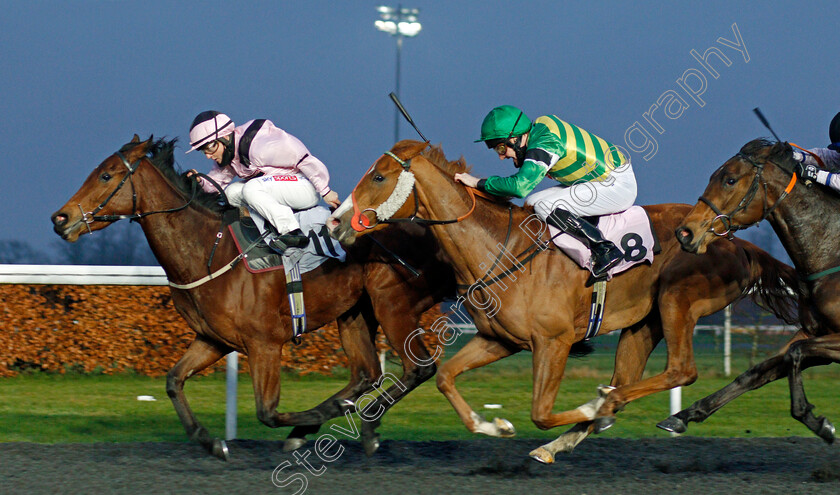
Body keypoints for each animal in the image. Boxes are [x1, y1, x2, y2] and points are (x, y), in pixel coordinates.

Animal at [49, 137, 456, 462]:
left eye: (106, 175)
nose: (60, 218)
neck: (209, 251)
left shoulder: (264, 344)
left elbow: (268, 412)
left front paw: (306, 424)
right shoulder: (213, 339)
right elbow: (173, 381)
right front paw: (212, 442)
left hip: (392, 304)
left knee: (418, 368)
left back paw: (363, 430)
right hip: (355, 312)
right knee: (367, 373)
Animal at [330, 140, 800, 464]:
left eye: (378, 177)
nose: (336, 221)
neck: (499, 248)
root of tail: (732, 239)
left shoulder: (553, 341)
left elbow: (540, 411)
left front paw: (586, 408)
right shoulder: (501, 340)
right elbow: (446, 376)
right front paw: (493, 425)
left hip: (676, 300)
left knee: (681, 369)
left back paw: (610, 406)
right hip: (642, 323)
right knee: (632, 376)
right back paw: (580, 427)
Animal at [660, 139, 836, 442]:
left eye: (730, 180)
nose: (685, 233)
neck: (831, 252)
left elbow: (795, 352)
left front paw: (813, 419)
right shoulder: (815, 332)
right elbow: (756, 372)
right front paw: (683, 415)